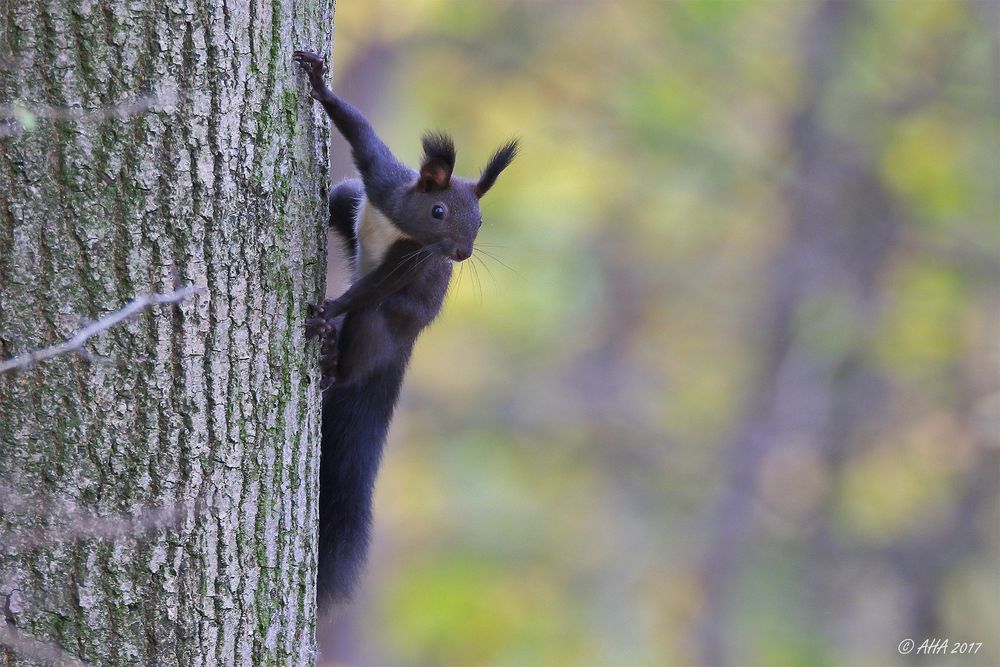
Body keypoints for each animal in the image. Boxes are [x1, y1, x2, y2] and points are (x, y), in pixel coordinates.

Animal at [292, 49, 520, 608]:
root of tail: (409, 343)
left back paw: (331, 355)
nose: (460, 253)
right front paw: (319, 85)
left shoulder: (410, 265)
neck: (404, 228)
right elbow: (361, 133)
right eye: (438, 210)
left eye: (480, 222)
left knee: (356, 360)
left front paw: (329, 310)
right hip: (349, 199)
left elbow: (373, 289)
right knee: (342, 199)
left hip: (381, 326)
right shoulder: (381, 179)